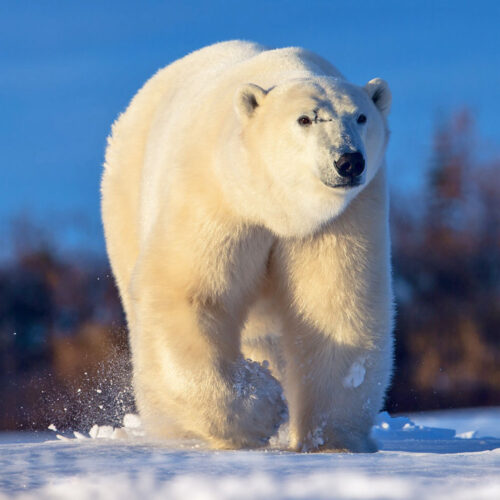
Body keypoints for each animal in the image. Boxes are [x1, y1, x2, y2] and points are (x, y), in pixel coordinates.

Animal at [101, 41, 394, 452]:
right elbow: (189, 293)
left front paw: (331, 440)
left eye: (361, 117)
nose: (348, 161)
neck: (276, 206)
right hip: (126, 198)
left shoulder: (342, 217)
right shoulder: (217, 196)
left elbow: (335, 306)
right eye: (306, 119)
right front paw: (262, 407)